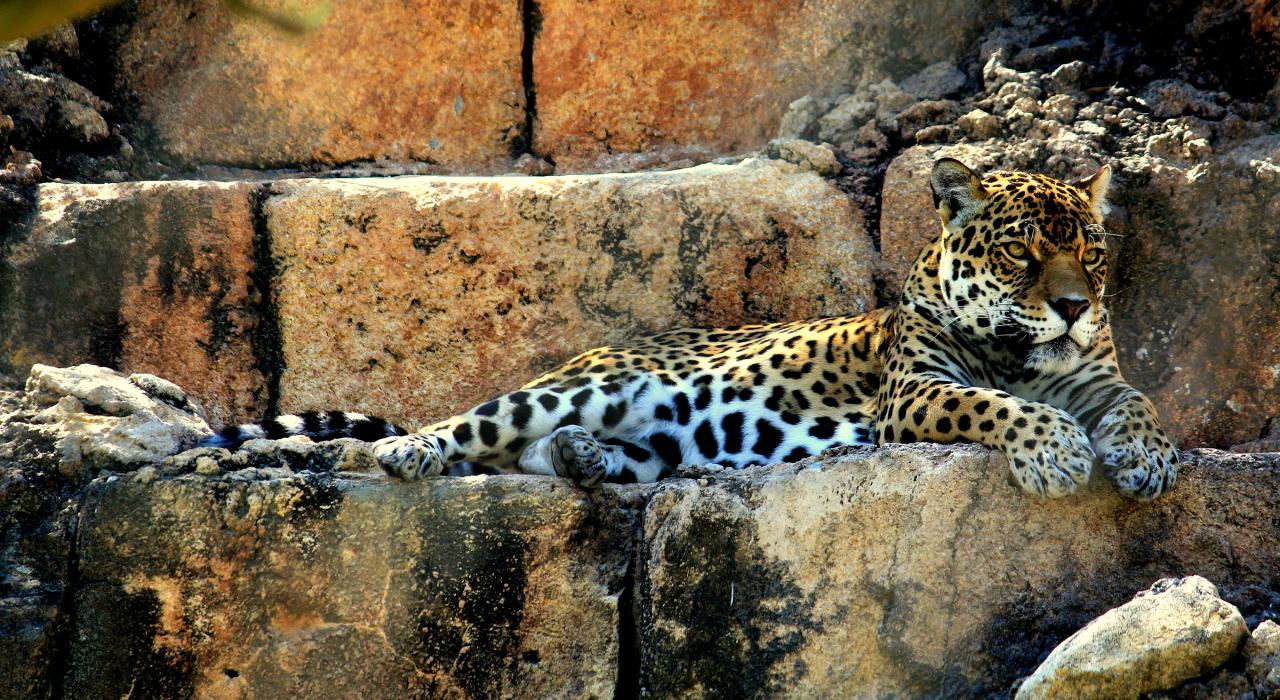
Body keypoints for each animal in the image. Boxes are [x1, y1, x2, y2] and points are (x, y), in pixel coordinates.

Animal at [203, 158, 1179, 500]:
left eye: (1090, 254)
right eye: (1023, 254)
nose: (1074, 306)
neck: (1025, 353)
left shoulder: (1097, 379)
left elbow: (1139, 405)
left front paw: (1149, 461)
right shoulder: (916, 393)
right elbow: (1000, 408)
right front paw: (1056, 455)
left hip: (659, 445)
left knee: (542, 454)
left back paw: (582, 460)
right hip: (580, 385)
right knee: (471, 430)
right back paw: (410, 452)